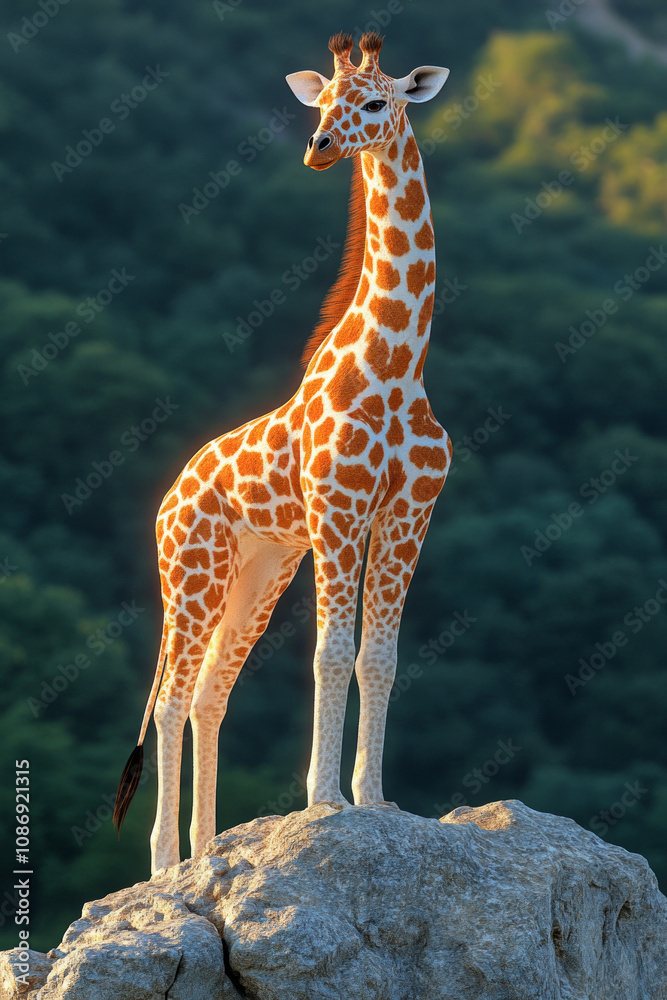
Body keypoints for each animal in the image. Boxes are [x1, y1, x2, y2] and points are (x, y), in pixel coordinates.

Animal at [116, 33, 454, 876]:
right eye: (323, 102)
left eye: (375, 102)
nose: (319, 147)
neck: (398, 362)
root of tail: (168, 499)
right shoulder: (338, 512)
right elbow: (332, 654)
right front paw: (325, 800)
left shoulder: (405, 518)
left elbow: (378, 658)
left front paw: (374, 799)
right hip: (192, 571)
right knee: (171, 698)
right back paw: (165, 864)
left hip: (260, 570)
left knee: (211, 691)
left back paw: (207, 851)